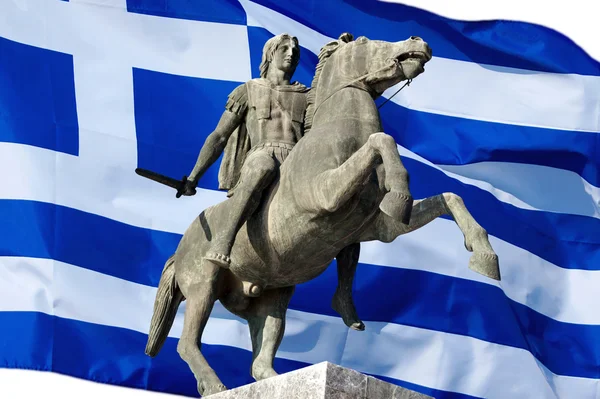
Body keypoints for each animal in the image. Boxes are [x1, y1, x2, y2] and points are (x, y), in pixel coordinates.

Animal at [143, 33, 500, 396]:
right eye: (365, 41)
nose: (418, 41)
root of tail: (179, 249)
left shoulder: (378, 228)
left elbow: (449, 197)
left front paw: (484, 255)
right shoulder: (325, 195)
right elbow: (381, 139)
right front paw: (400, 194)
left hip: (273, 297)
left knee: (260, 360)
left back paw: (278, 376)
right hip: (203, 285)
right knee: (187, 342)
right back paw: (215, 382)